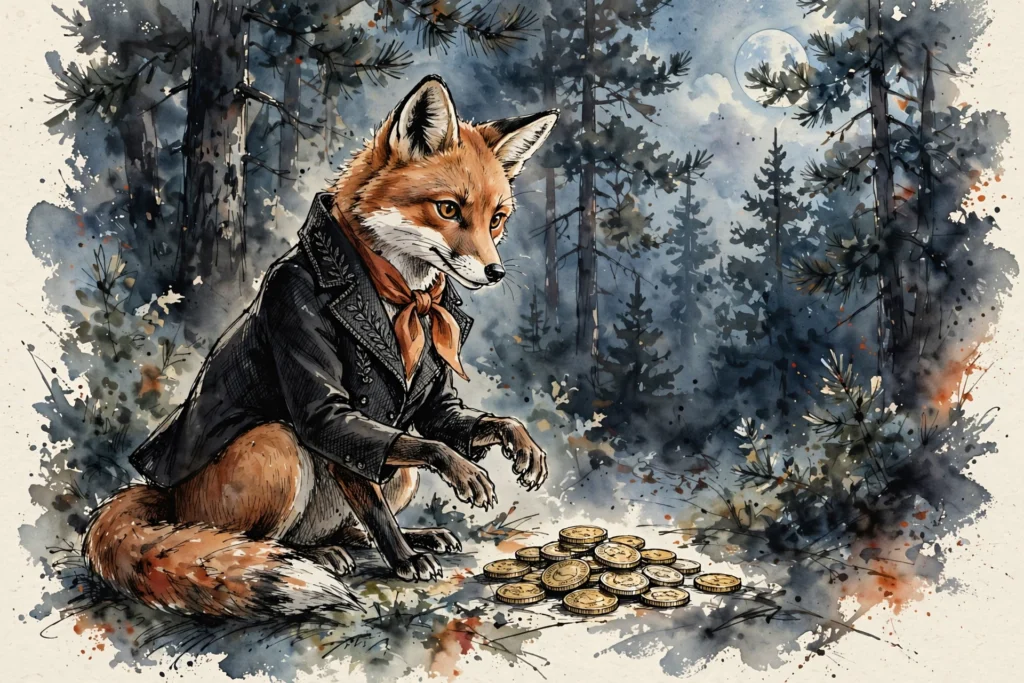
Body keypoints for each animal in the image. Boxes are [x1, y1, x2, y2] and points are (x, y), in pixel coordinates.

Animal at [82, 76, 557, 619]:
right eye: (448, 209)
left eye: (496, 219)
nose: (495, 271)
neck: (404, 295)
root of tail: (167, 499)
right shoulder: (325, 402)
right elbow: (394, 469)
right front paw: (407, 553)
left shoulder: (426, 402)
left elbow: (447, 424)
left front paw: (515, 440)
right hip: (280, 448)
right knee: (262, 539)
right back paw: (319, 556)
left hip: (400, 477)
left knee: (353, 524)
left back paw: (397, 537)